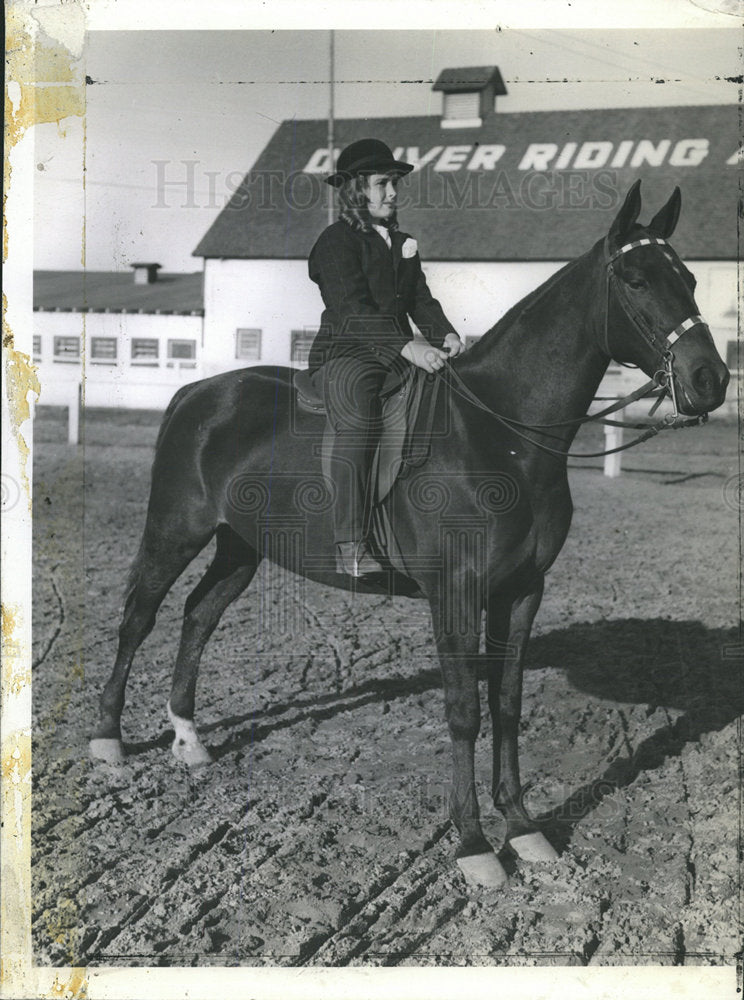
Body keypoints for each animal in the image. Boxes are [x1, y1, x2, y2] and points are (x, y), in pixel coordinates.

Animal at [91, 182, 728, 892]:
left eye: (689, 279)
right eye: (637, 280)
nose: (710, 380)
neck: (501, 435)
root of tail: (197, 393)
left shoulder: (522, 591)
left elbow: (508, 704)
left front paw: (523, 829)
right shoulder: (455, 593)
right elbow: (465, 711)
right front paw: (474, 844)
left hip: (239, 547)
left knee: (199, 615)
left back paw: (188, 739)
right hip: (176, 531)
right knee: (139, 617)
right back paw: (109, 741)